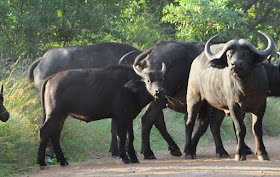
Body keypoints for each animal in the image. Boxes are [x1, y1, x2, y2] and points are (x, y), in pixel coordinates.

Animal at [36, 64, 165, 167]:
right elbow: (121, 137)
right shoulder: (121, 117)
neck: (131, 89)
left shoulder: (129, 117)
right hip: (54, 114)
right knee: (44, 131)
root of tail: (51, 78)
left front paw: (134, 158)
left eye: (162, 78)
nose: (159, 91)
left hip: (61, 115)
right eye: (148, 80)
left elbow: (131, 137)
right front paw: (125, 158)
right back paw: (41, 162)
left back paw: (62, 161)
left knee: (55, 134)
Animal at [184, 31, 274, 161]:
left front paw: (262, 153)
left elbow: (257, 129)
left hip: (214, 106)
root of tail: (195, 61)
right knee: (189, 122)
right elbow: (240, 129)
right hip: (194, 99)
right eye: (228, 55)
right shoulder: (234, 106)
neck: (245, 88)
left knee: (208, 125)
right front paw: (240, 154)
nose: (235, 64)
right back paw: (188, 151)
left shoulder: (260, 106)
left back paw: (218, 151)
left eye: (246, 53)